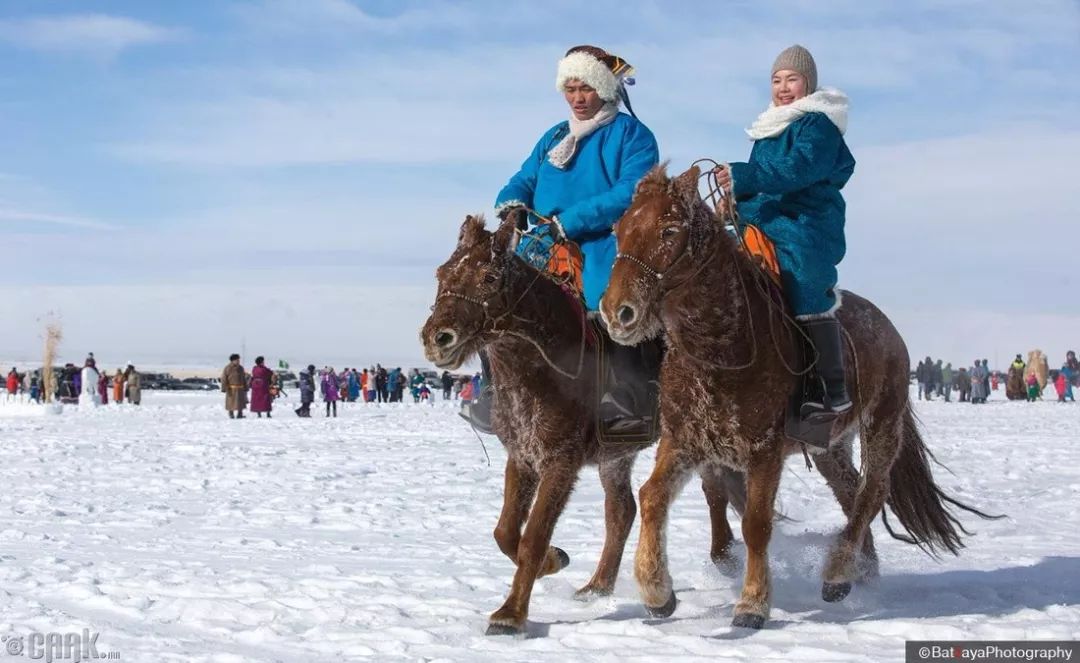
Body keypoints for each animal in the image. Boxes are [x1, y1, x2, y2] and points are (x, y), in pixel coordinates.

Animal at [421, 212, 751, 639]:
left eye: (489, 277)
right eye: (442, 273)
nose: (437, 339)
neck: (542, 365)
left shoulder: (561, 461)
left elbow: (533, 535)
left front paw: (510, 613)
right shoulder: (523, 457)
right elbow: (506, 531)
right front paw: (554, 560)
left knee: (717, 493)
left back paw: (725, 558)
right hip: (618, 457)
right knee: (623, 510)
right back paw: (598, 586)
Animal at [600, 164, 1002, 630]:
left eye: (668, 230)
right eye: (619, 230)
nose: (617, 312)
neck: (724, 344)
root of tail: (890, 332)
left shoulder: (764, 450)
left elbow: (756, 524)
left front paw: (752, 604)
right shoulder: (685, 442)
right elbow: (652, 498)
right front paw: (657, 593)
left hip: (881, 425)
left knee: (871, 493)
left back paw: (838, 573)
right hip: (830, 446)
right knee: (850, 492)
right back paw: (861, 570)